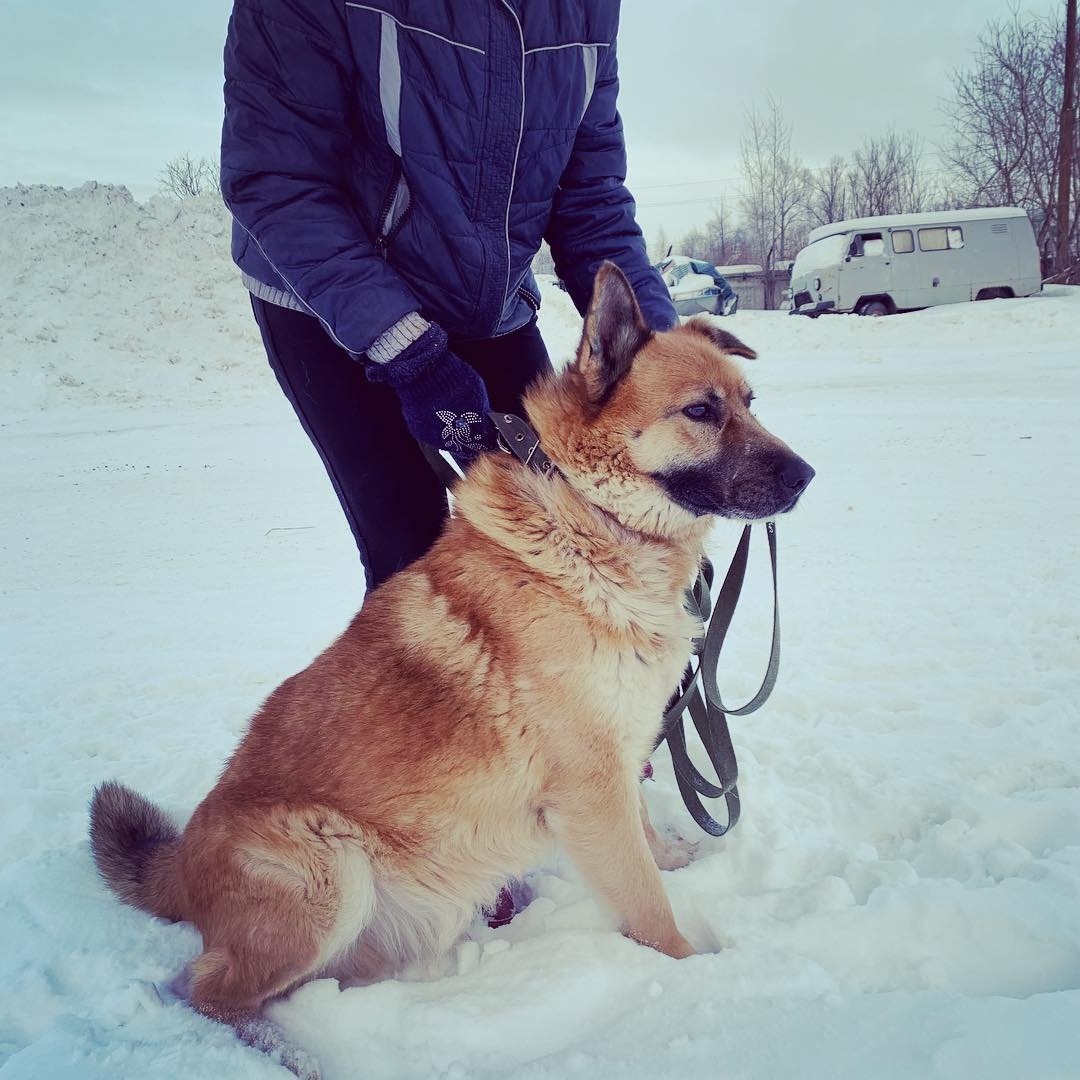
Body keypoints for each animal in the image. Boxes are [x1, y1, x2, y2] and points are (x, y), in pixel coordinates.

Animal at [90, 263, 812, 1071]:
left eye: (749, 404)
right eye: (700, 411)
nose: (808, 476)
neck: (590, 524)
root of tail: (181, 862)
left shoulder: (620, 759)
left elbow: (648, 847)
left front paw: (679, 859)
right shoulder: (591, 789)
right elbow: (646, 903)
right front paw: (696, 974)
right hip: (328, 873)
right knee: (205, 989)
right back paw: (301, 1053)